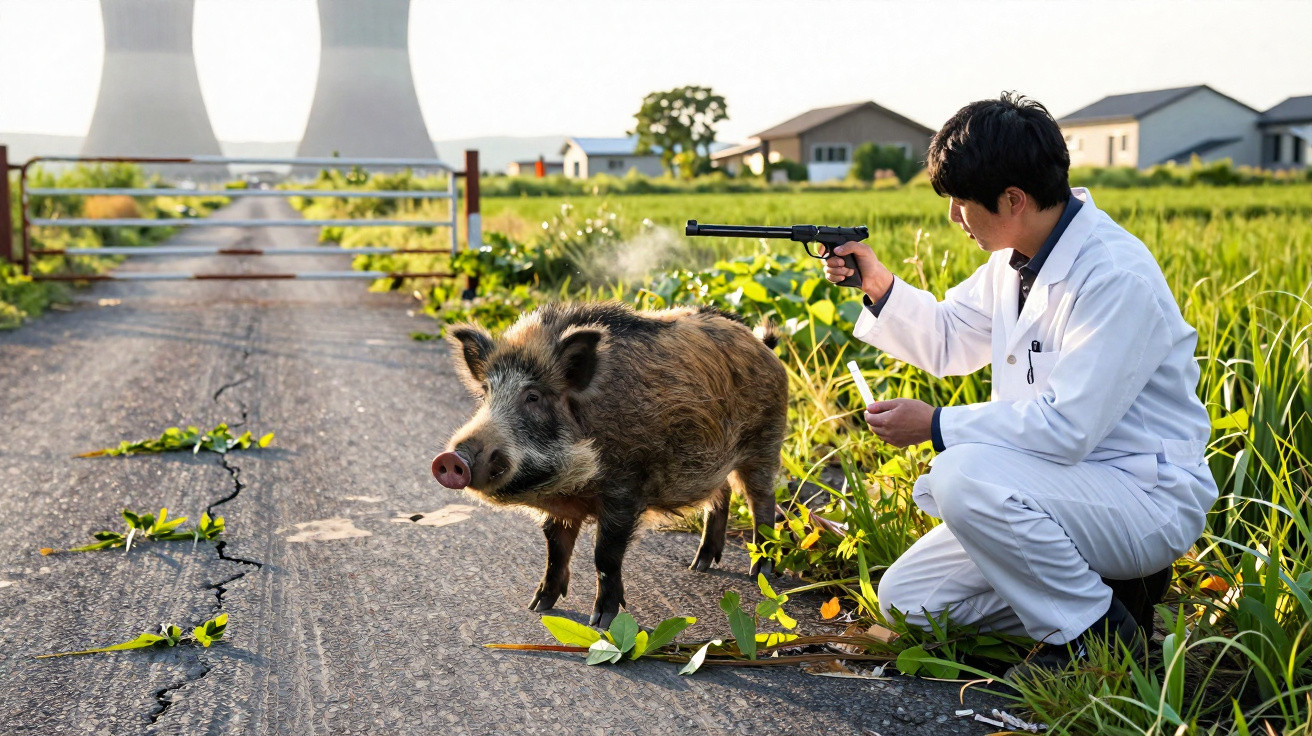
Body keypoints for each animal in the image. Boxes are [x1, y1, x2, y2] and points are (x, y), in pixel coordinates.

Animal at [431, 301, 788, 628]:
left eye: (533, 396)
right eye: (486, 394)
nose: (451, 459)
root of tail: (764, 345)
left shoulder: (625, 489)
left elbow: (605, 554)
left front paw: (601, 622)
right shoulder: (562, 504)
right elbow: (554, 547)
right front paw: (538, 606)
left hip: (765, 442)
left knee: (762, 501)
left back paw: (760, 571)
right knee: (721, 493)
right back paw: (699, 565)